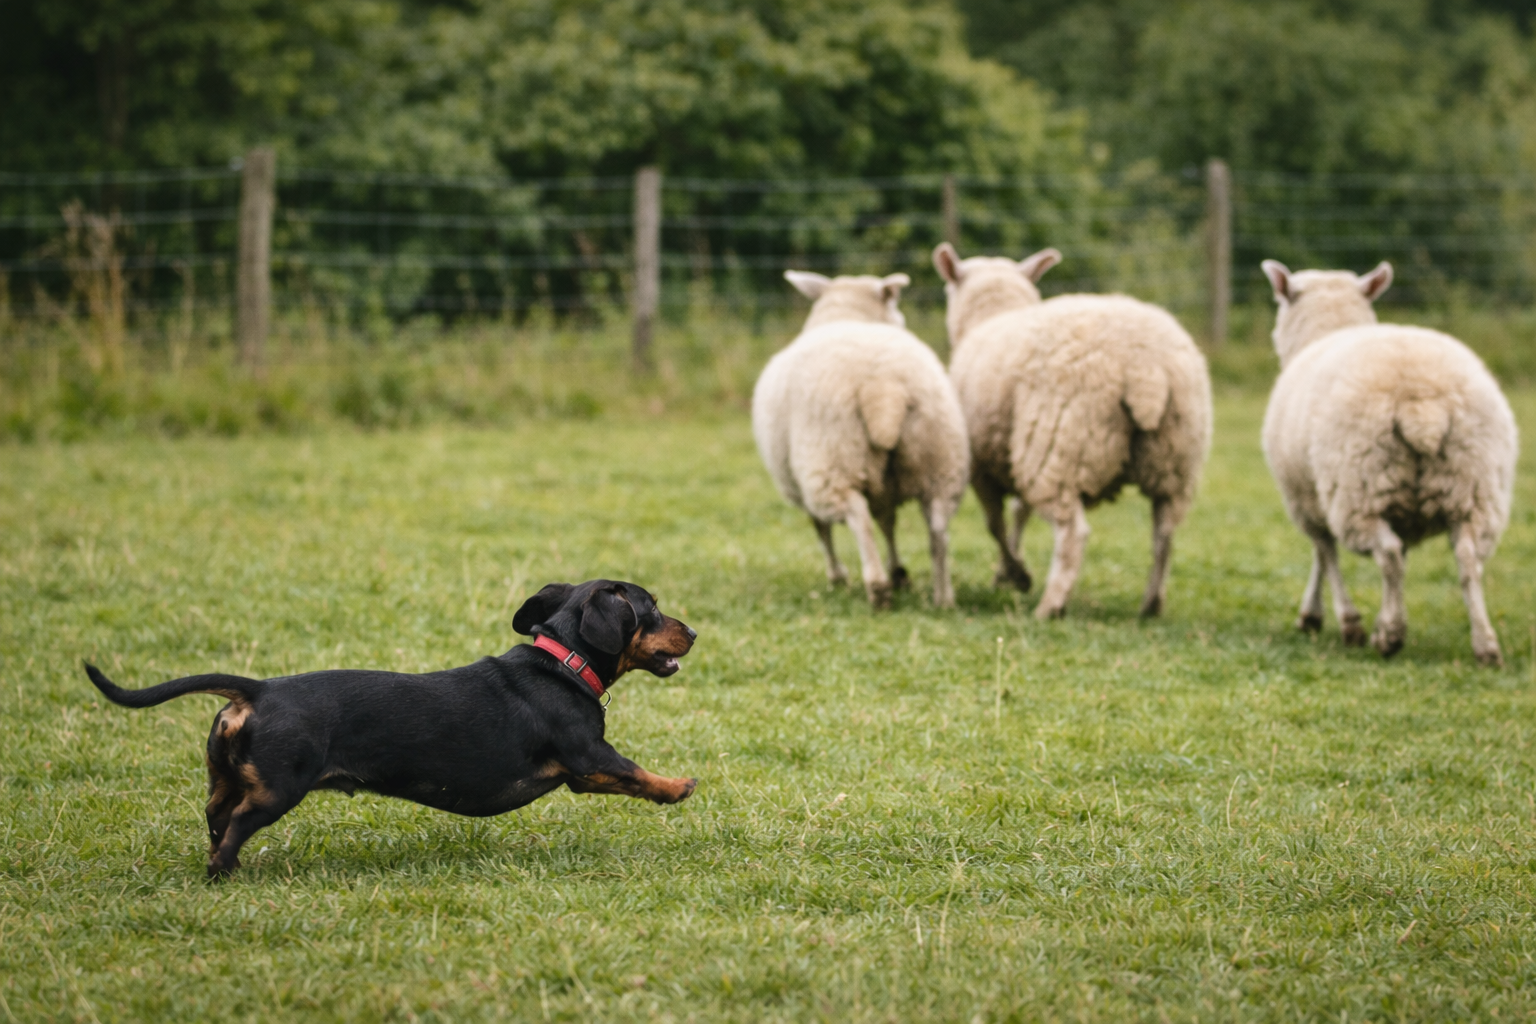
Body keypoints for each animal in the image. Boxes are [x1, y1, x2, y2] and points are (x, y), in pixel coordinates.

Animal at [752, 271, 970, 608]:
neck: (845, 315)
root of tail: (882, 387)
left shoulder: (802, 481)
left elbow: (821, 527)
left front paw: (838, 576)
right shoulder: (885, 486)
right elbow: (888, 522)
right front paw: (900, 572)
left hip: (830, 460)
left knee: (857, 516)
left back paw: (878, 588)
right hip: (941, 459)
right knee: (938, 528)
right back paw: (943, 596)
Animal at [935, 243, 1213, 619]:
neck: (993, 314)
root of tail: (1146, 371)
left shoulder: (982, 466)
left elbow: (995, 524)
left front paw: (1015, 573)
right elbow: (1019, 513)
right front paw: (1008, 573)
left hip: (1056, 444)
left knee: (1072, 534)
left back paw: (1050, 606)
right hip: (1175, 459)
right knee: (1165, 534)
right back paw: (1151, 605)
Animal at [1260, 259, 1518, 665]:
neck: (1330, 329)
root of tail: (1422, 404)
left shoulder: (1305, 495)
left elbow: (1324, 552)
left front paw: (1334, 619)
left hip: (1358, 487)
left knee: (1389, 554)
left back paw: (1390, 638)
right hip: (1474, 487)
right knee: (1467, 560)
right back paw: (1485, 645)